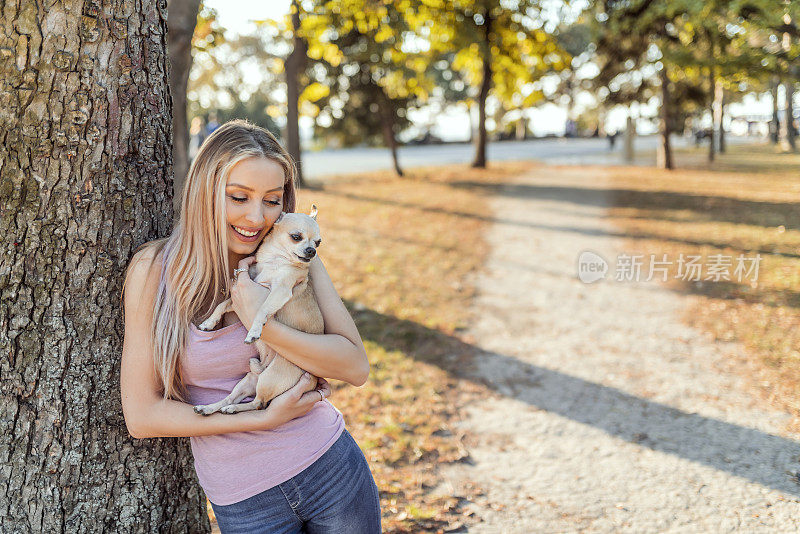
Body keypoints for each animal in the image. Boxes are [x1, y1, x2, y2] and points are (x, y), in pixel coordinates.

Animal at [193, 207, 322, 416]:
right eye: (296, 237)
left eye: (318, 242)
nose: (312, 251)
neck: (273, 261)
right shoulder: (246, 290)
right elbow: (223, 304)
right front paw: (209, 322)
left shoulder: (279, 291)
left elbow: (261, 309)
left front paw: (254, 331)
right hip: (249, 379)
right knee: (233, 398)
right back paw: (210, 408)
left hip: (269, 379)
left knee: (259, 404)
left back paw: (233, 408)